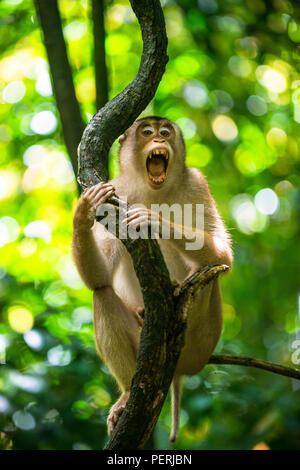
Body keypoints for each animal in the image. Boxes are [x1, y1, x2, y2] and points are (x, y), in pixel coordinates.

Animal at [72, 115, 232, 442]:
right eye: (147, 133)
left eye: (165, 132)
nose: (158, 141)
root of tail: (178, 372)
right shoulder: (117, 192)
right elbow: (99, 277)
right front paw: (82, 214)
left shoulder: (196, 182)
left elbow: (224, 254)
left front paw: (154, 219)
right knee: (102, 293)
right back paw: (126, 394)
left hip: (200, 345)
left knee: (208, 274)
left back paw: (177, 291)